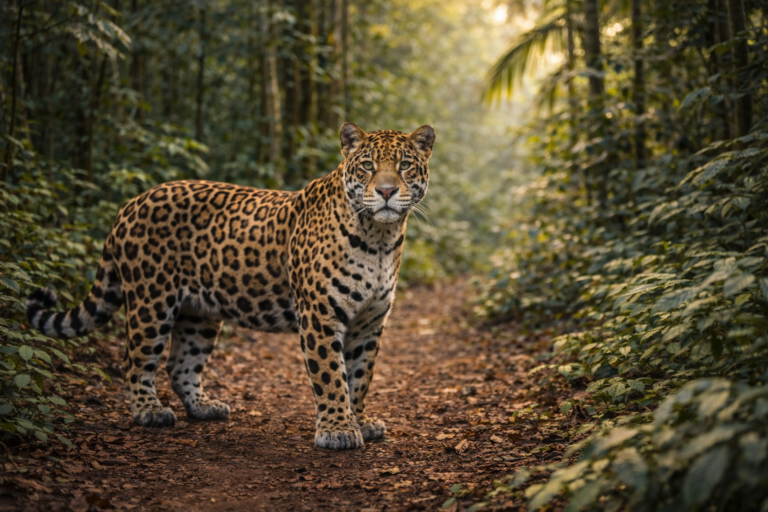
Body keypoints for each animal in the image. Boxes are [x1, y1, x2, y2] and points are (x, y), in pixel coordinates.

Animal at [26, 122, 435, 450]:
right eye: (367, 166)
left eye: (404, 165)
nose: (385, 191)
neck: (380, 238)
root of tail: (131, 203)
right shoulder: (320, 315)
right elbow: (331, 376)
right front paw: (338, 430)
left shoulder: (369, 322)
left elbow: (360, 375)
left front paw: (360, 421)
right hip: (150, 301)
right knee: (135, 361)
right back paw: (149, 411)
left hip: (198, 314)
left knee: (180, 364)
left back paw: (205, 407)